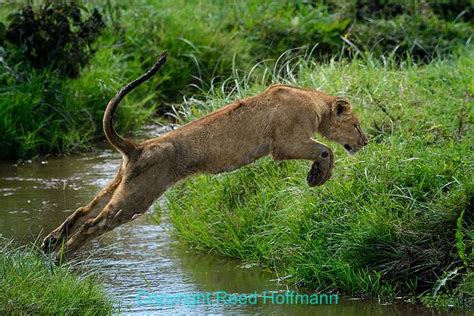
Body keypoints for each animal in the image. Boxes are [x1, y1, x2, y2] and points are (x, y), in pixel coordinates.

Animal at [42, 51, 368, 254]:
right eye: (356, 124)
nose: (366, 142)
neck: (313, 102)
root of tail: (138, 147)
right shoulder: (286, 143)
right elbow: (326, 150)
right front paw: (318, 177)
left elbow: (325, 149)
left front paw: (316, 176)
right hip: (137, 197)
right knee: (93, 224)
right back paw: (60, 258)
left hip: (122, 182)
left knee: (84, 210)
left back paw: (50, 242)